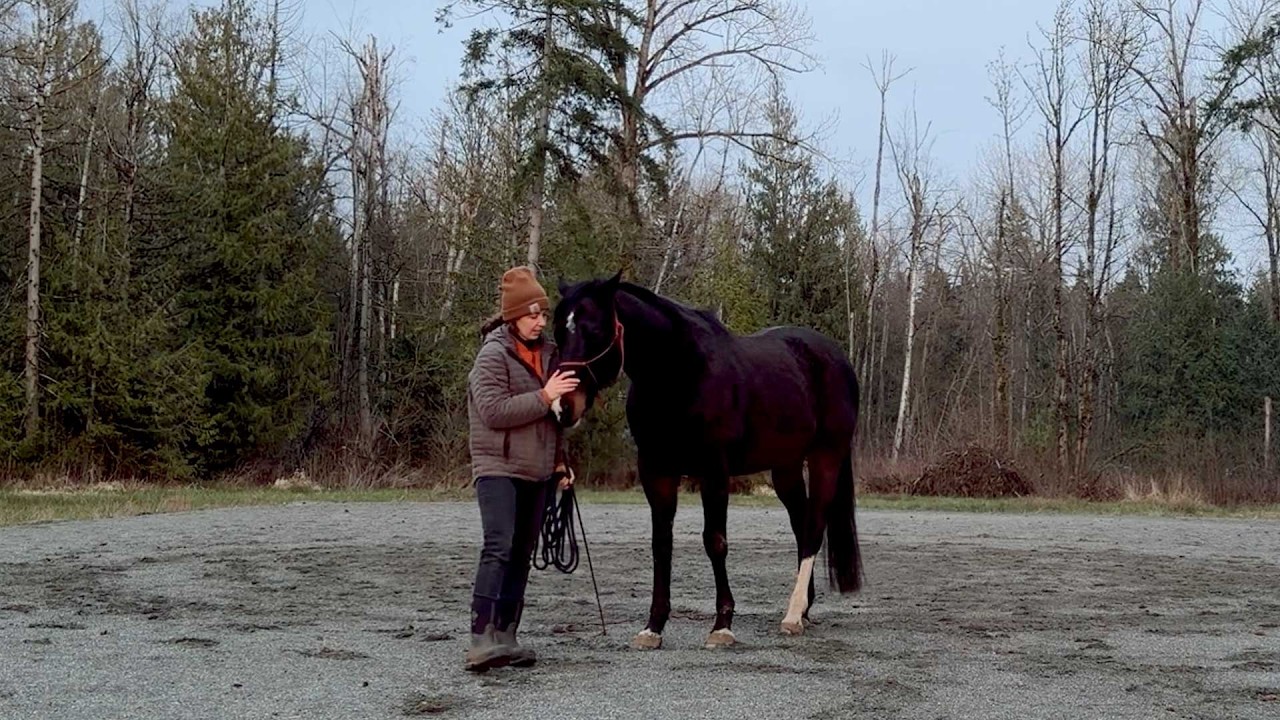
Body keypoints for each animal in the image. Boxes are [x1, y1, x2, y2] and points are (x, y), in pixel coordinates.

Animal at [550, 271, 864, 650]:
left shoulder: (714, 471)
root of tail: (837, 357)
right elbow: (661, 545)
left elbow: (715, 542)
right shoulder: (656, 472)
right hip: (785, 467)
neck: (679, 373)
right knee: (801, 526)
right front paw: (653, 627)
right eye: (557, 330)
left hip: (825, 458)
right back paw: (802, 609)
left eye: (595, 330)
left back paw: (791, 616)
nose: (564, 406)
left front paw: (722, 625)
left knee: (814, 527)